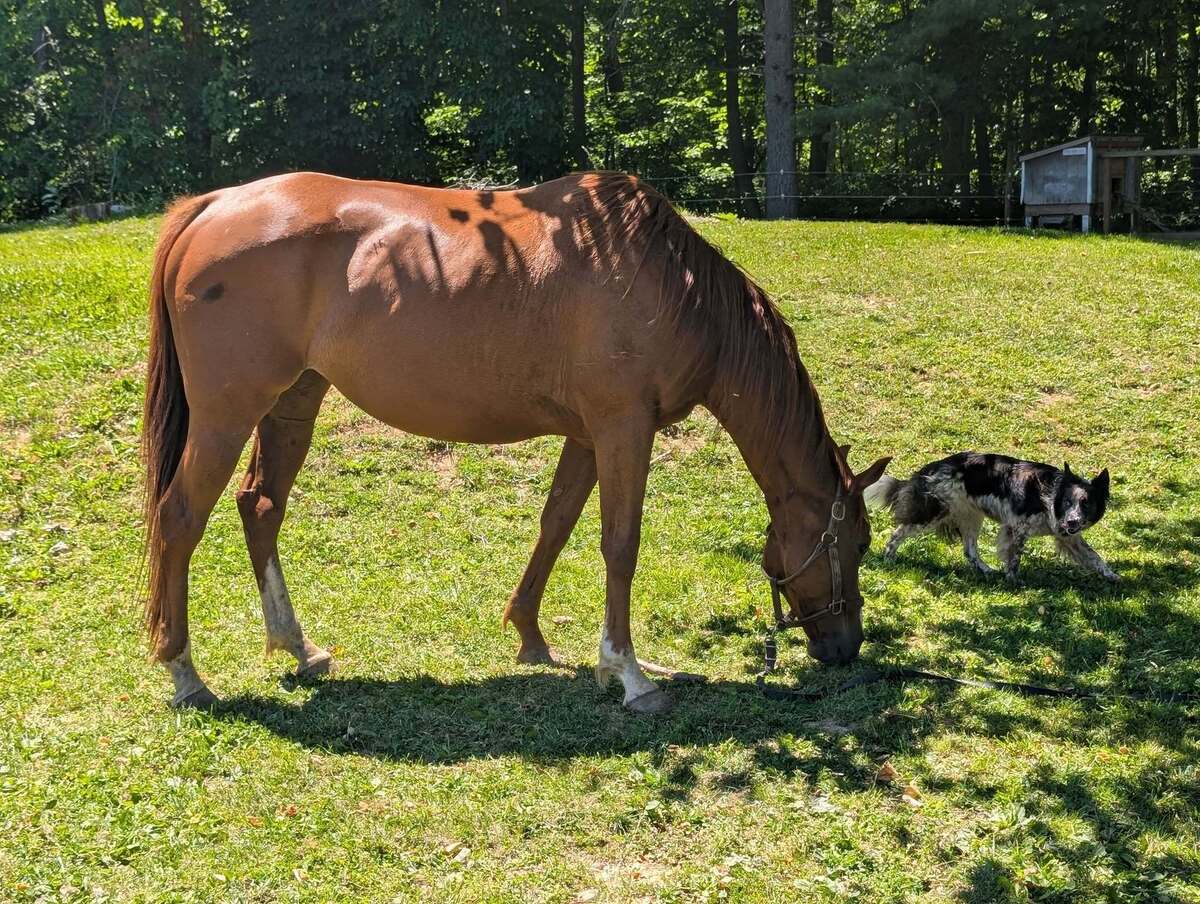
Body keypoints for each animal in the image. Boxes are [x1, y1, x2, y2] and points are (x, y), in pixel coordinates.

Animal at [141, 171, 889, 714]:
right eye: (853, 544)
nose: (846, 648)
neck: (670, 284)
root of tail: (213, 206)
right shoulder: (623, 427)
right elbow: (621, 545)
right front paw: (630, 674)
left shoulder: (588, 436)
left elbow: (555, 525)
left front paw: (533, 636)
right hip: (227, 416)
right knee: (180, 518)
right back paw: (186, 674)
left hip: (294, 402)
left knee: (261, 508)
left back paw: (299, 648)